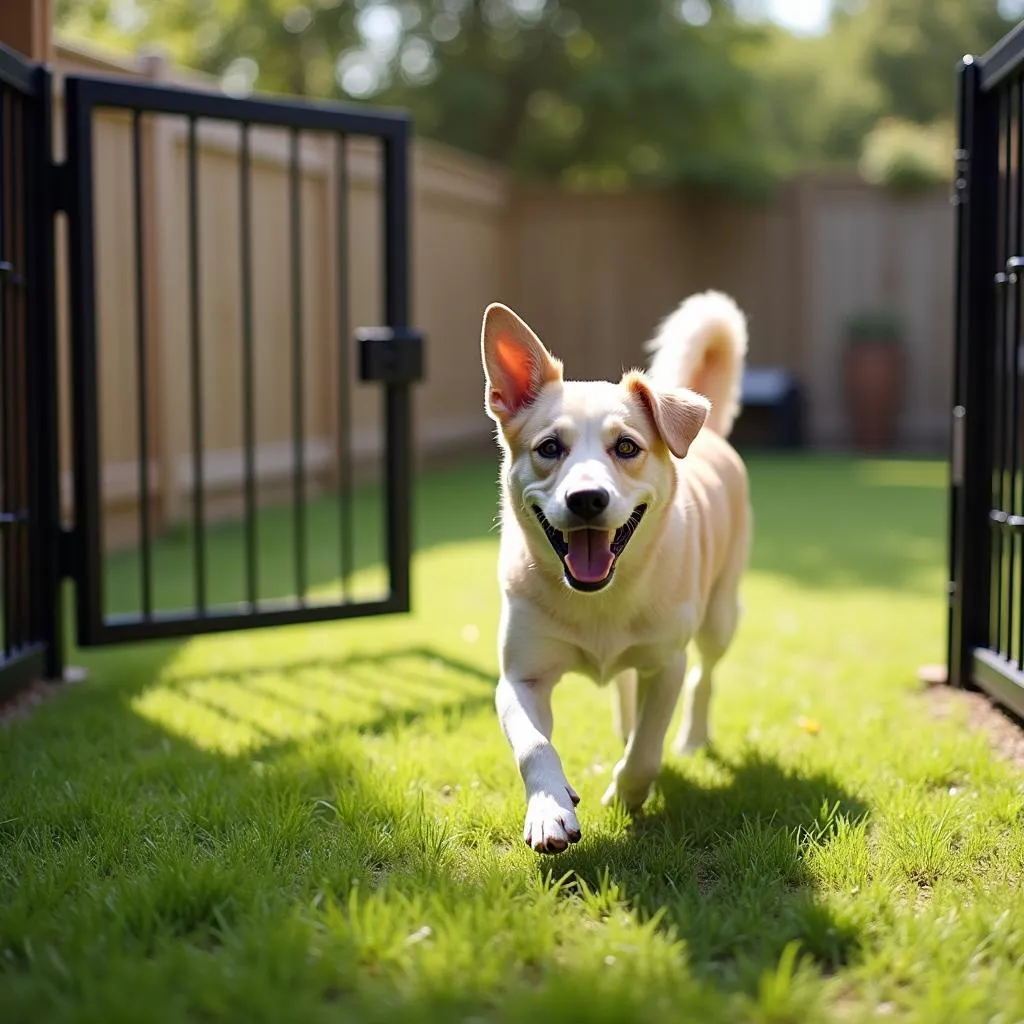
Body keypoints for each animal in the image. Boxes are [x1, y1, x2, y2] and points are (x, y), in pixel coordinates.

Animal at [479, 292, 753, 851]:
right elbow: (534, 745)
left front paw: (627, 794)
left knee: (704, 676)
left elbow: (648, 749)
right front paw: (550, 808)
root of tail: (708, 433)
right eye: (549, 448)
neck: (599, 597)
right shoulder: (520, 676)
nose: (586, 498)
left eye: (626, 447)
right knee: (626, 688)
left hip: (720, 616)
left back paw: (692, 737)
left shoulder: (666, 663)